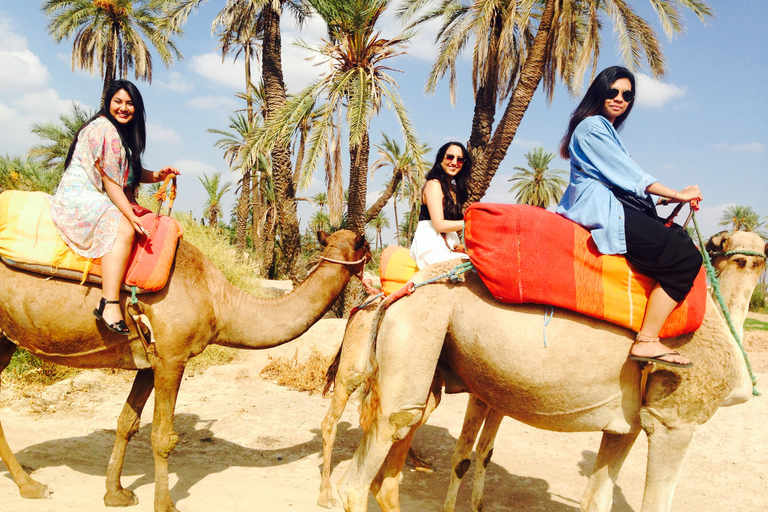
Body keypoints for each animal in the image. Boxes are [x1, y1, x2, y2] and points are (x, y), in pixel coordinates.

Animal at [0, 231, 368, 512]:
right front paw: (165, 505)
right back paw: (32, 486)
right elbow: (164, 437)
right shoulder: (173, 357)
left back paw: (28, 484)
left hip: (5, 340)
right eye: (365, 245)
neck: (220, 302)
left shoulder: (150, 360)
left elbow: (127, 423)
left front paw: (116, 494)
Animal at [340, 232, 764, 512]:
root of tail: (399, 290)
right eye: (738, 256)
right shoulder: (675, 420)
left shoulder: (625, 425)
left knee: (395, 451)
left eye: (760, 255)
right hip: (417, 328)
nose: (754, 257)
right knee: (369, 461)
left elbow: (596, 499)